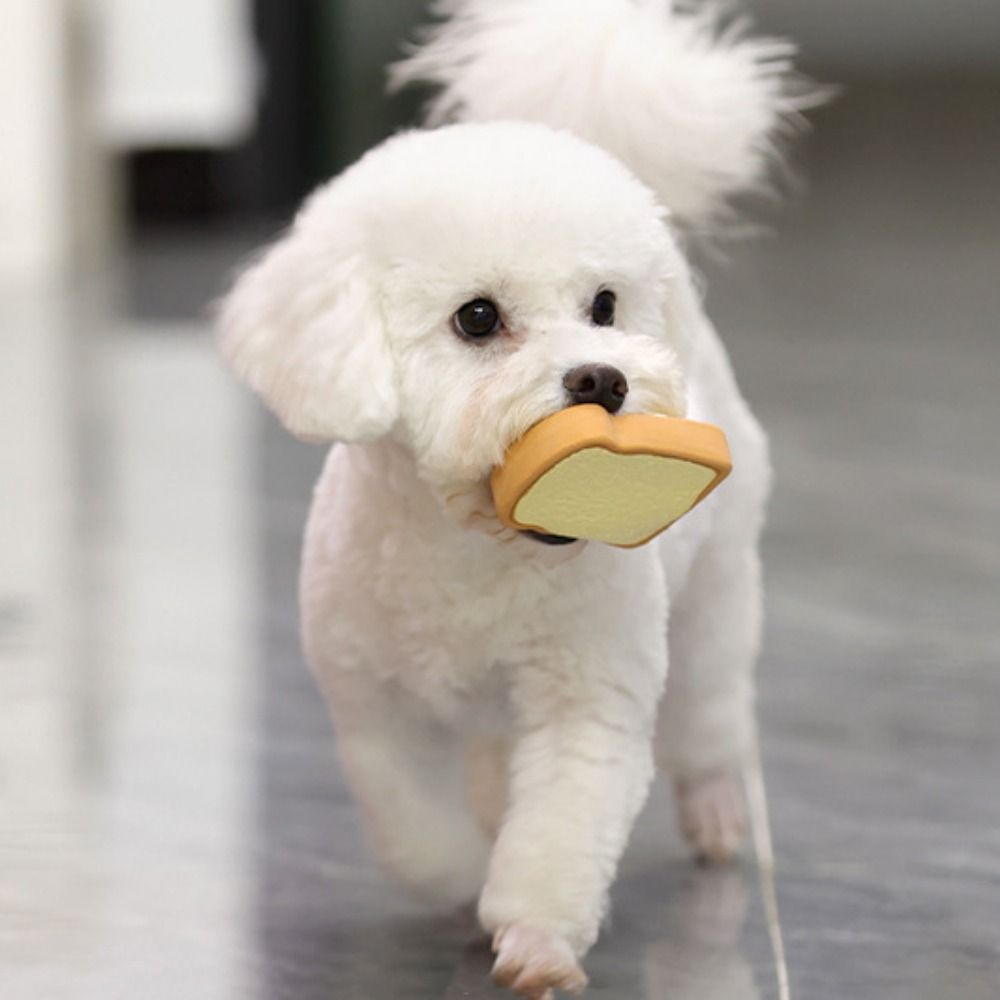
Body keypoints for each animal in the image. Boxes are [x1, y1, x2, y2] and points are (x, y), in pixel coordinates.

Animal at [217, 3, 804, 996]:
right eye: (478, 318)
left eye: (604, 305)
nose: (602, 377)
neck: (478, 555)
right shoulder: (377, 713)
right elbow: (415, 835)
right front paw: (462, 885)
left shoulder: (586, 697)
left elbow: (559, 832)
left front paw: (534, 943)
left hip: (716, 600)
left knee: (708, 716)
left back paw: (720, 809)